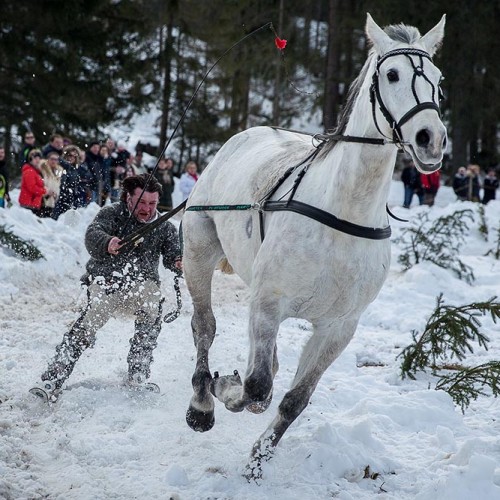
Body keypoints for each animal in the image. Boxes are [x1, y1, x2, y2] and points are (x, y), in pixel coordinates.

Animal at [182, 13, 448, 476]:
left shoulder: (338, 328)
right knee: (205, 327)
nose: (430, 137)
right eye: (392, 74)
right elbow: (255, 385)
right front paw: (227, 390)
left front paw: (257, 461)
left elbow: (293, 399)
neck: (343, 216)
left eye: (438, 79)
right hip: (198, 250)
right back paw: (201, 402)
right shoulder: (268, 304)